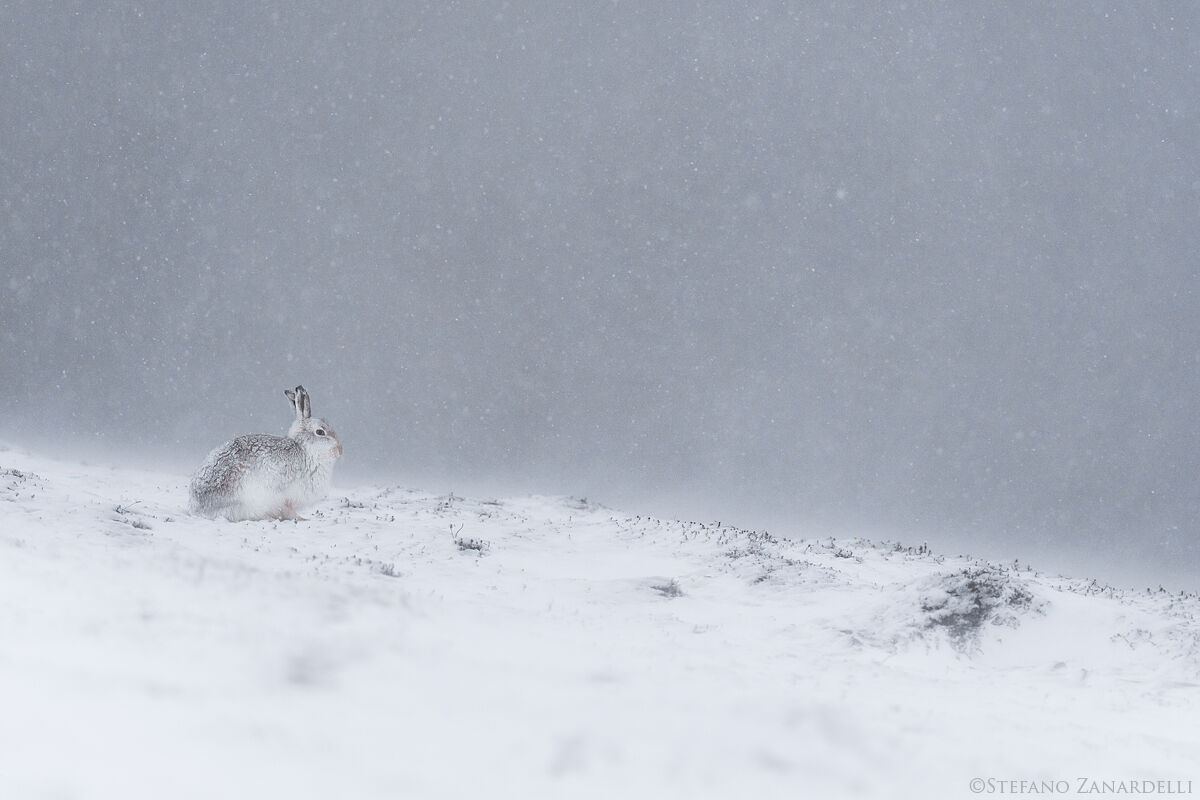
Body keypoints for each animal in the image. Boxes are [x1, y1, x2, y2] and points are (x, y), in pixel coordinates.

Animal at [189, 385, 343, 521]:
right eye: (320, 432)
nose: (340, 450)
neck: (305, 449)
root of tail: (198, 507)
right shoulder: (284, 496)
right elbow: (288, 510)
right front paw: (302, 519)